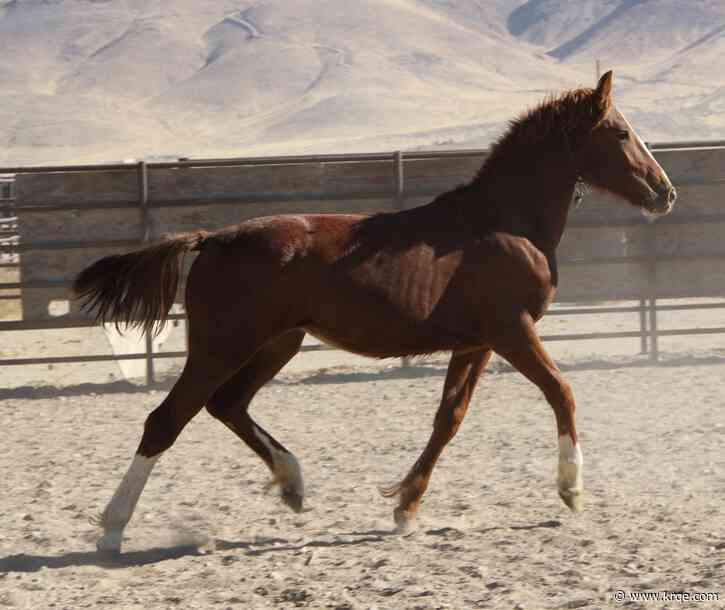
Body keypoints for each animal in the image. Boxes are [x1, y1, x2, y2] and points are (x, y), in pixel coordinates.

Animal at [74, 71, 676, 554]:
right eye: (622, 133)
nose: (665, 193)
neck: (506, 222)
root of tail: (213, 238)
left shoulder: (475, 343)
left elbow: (448, 419)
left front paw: (405, 508)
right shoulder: (512, 331)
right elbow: (561, 391)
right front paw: (571, 489)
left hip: (277, 342)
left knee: (228, 405)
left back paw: (292, 484)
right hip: (223, 344)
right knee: (167, 419)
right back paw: (112, 530)